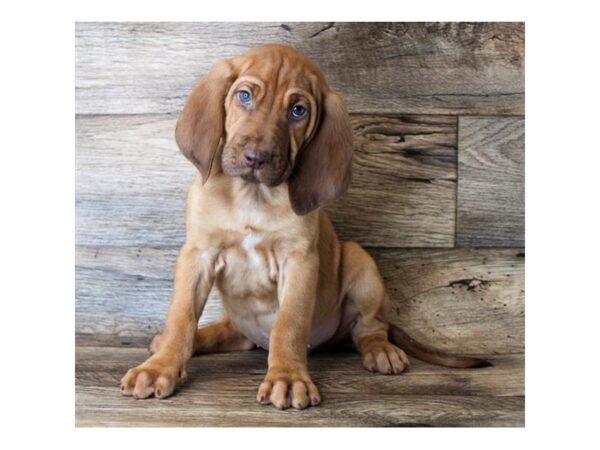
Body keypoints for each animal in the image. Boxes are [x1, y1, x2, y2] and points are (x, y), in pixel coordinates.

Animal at [120, 44, 488, 410]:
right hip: (240, 320)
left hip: (359, 261)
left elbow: (289, 324)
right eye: (244, 96)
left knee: (369, 328)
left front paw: (287, 377)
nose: (257, 157)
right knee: (225, 332)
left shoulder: (299, 262)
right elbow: (181, 316)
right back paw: (185, 340)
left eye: (298, 110)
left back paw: (381, 350)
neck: (252, 196)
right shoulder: (197, 255)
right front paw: (160, 367)